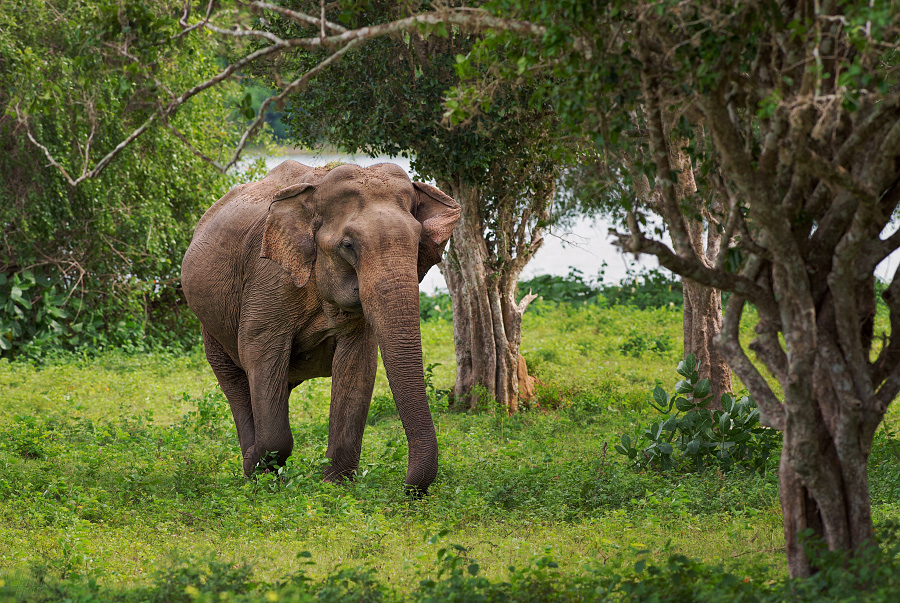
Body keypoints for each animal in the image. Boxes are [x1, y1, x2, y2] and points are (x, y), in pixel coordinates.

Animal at [184, 162, 464, 496]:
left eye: (418, 243)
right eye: (348, 246)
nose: (408, 490)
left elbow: (357, 365)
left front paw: (334, 485)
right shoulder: (268, 279)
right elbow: (261, 354)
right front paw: (261, 471)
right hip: (209, 325)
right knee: (237, 382)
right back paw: (252, 467)